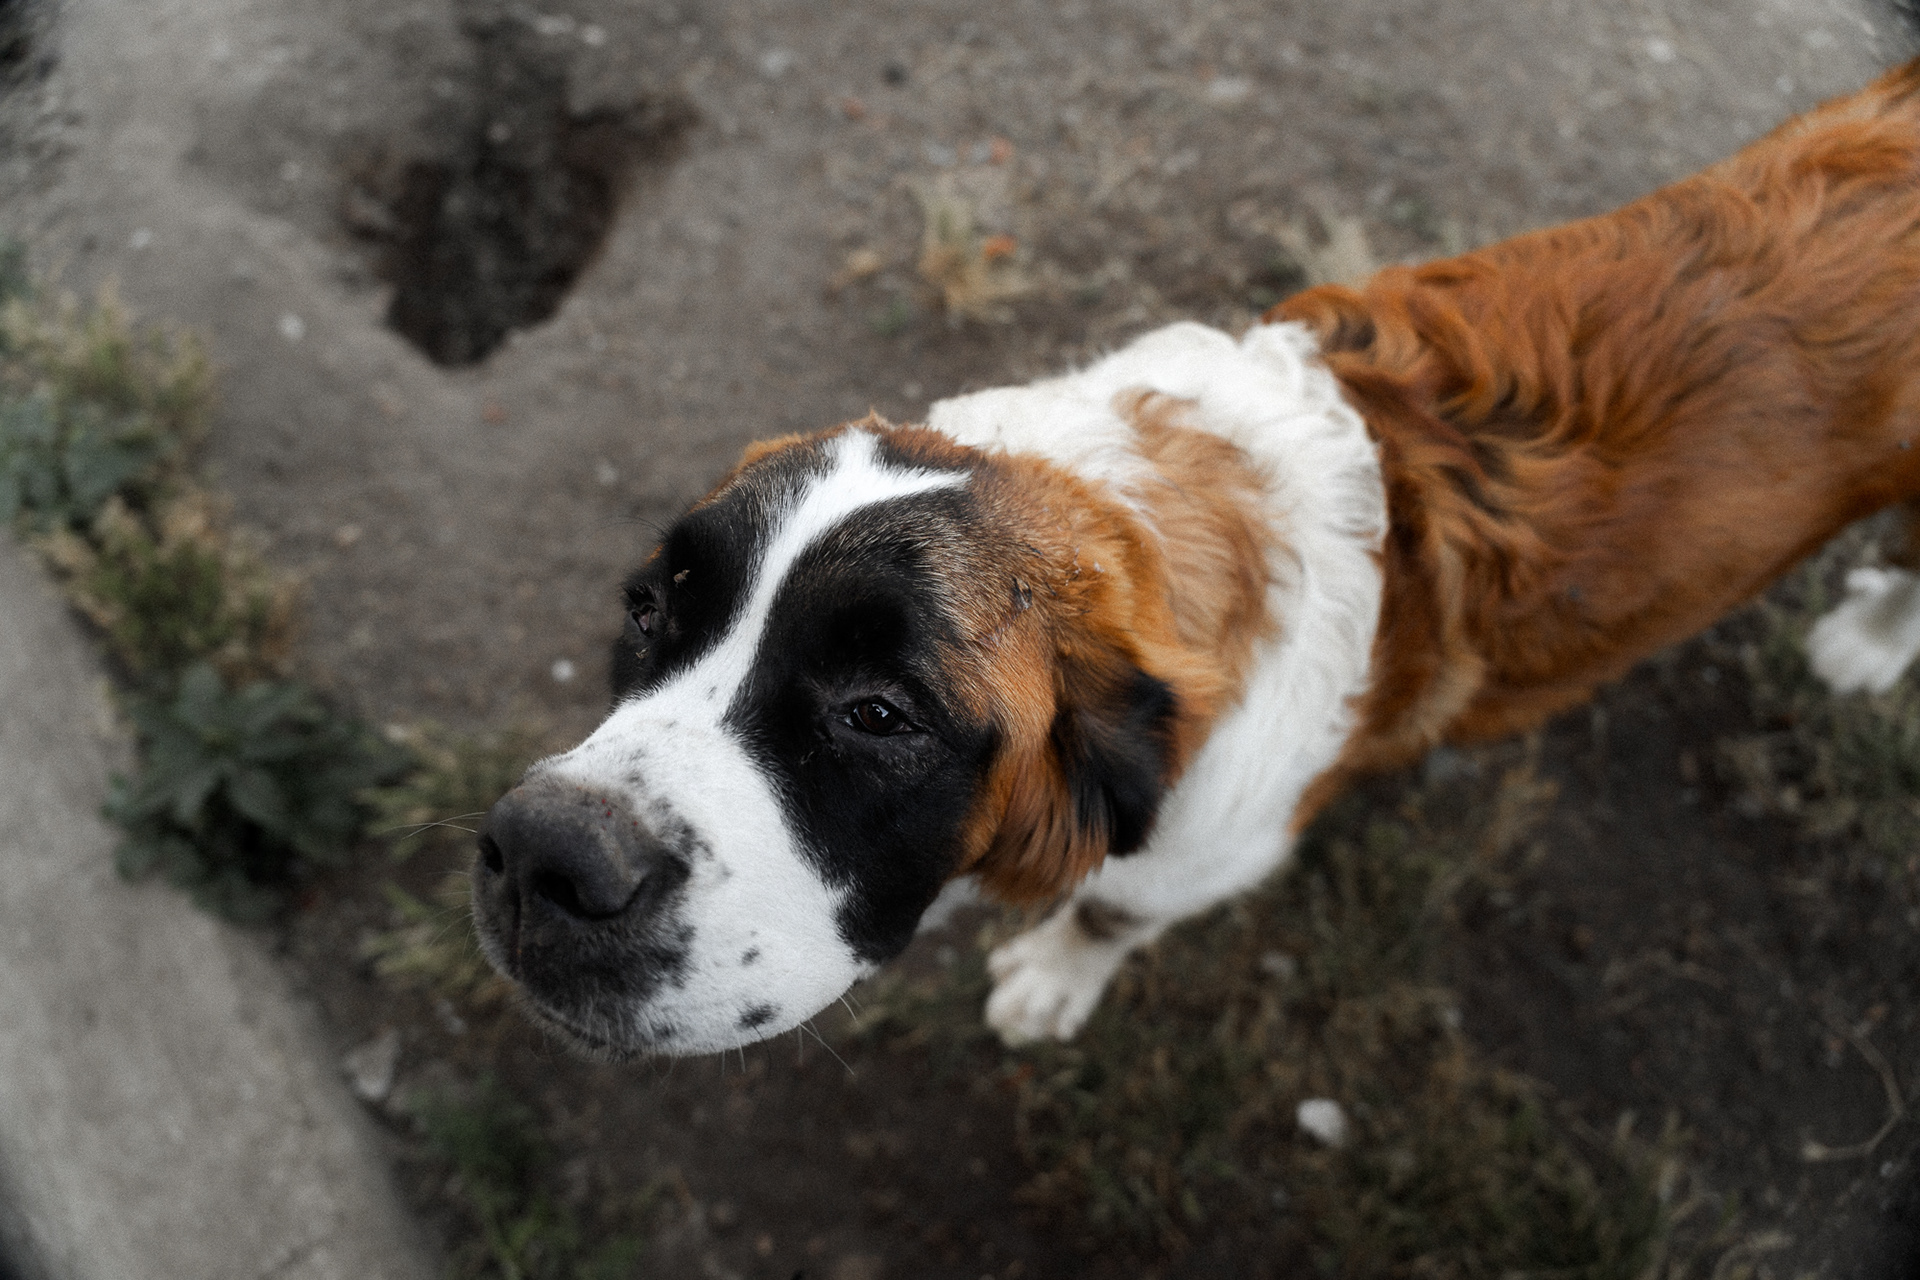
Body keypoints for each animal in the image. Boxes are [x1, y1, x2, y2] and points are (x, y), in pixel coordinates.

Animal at [472, 58, 1920, 1058]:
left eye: (878, 714)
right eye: (649, 611)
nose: (542, 854)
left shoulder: (1208, 845)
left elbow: (1115, 908)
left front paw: (1056, 971)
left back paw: (1871, 635)